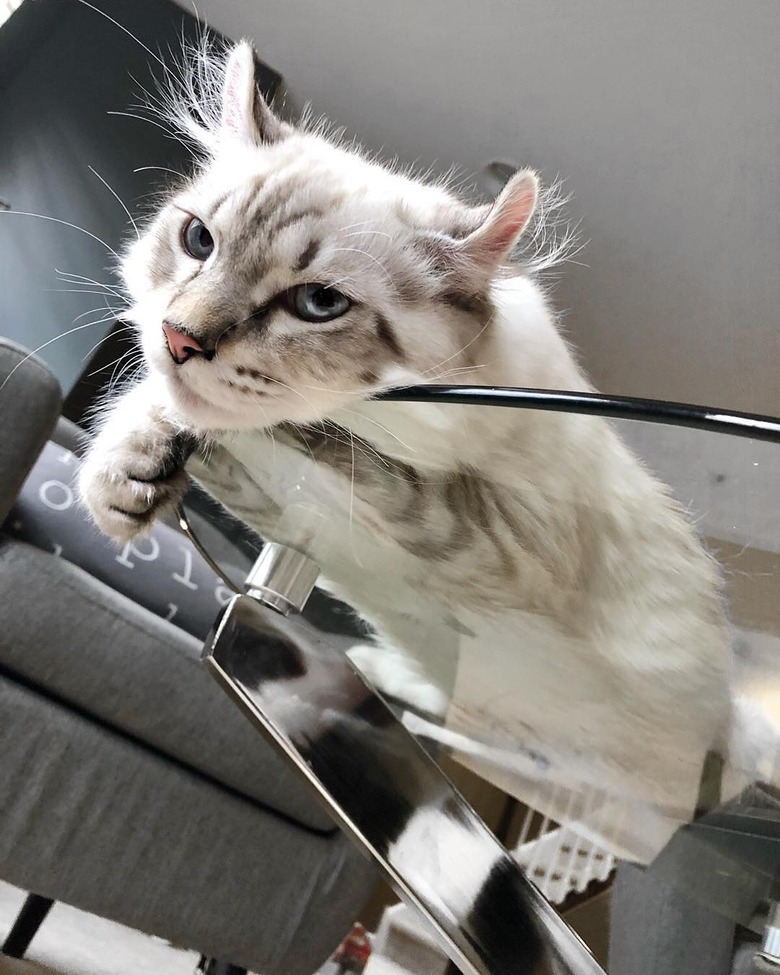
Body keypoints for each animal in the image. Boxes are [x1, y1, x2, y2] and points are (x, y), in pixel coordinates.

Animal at [76, 38, 772, 860]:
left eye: (318, 304)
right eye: (197, 242)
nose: (181, 338)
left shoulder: (488, 535)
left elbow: (329, 440)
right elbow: (179, 423)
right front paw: (127, 476)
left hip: (621, 787)